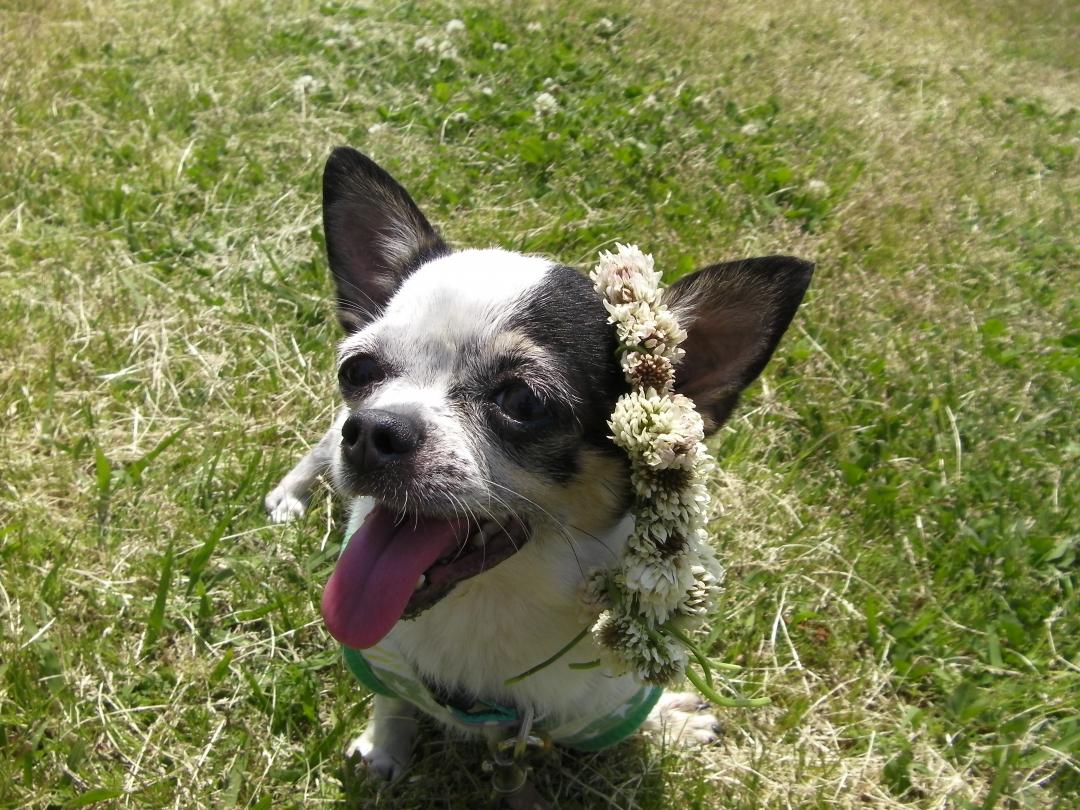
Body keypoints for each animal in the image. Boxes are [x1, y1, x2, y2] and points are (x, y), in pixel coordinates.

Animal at [265, 147, 812, 786]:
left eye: (523, 403)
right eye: (358, 370)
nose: (375, 430)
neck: (493, 600)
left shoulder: (607, 705)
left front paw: (669, 723)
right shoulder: (382, 659)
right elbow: (392, 702)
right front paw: (384, 748)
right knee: (320, 447)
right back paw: (292, 492)